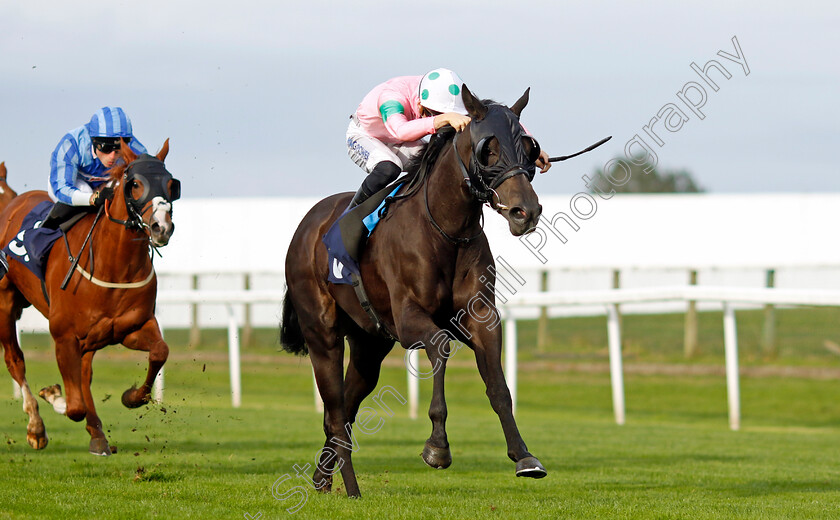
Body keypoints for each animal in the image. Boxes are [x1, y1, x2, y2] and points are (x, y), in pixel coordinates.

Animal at [0, 140, 177, 452]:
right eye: (134, 184)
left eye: (171, 184)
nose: (161, 227)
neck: (115, 266)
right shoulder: (64, 336)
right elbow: (74, 407)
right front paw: (53, 396)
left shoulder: (131, 328)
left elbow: (160, 351)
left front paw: (131, 397)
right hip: (5, 302)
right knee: (15, 360)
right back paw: (37, 426)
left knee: (84, 374)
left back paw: (97, 435)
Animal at [278, 85, 548, 496]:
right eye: (489, 148)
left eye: (529, 147)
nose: (525, 211)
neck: (446, 229)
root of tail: (308, 225)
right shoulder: (408, 321)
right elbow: (440, 346)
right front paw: (437, 447)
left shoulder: (481, 316)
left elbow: (498, 386)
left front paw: (524, 456)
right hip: (322, 336)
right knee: (336, 414)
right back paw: (351, 489)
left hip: (369, 346)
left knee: (346, 411)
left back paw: (324, 479)